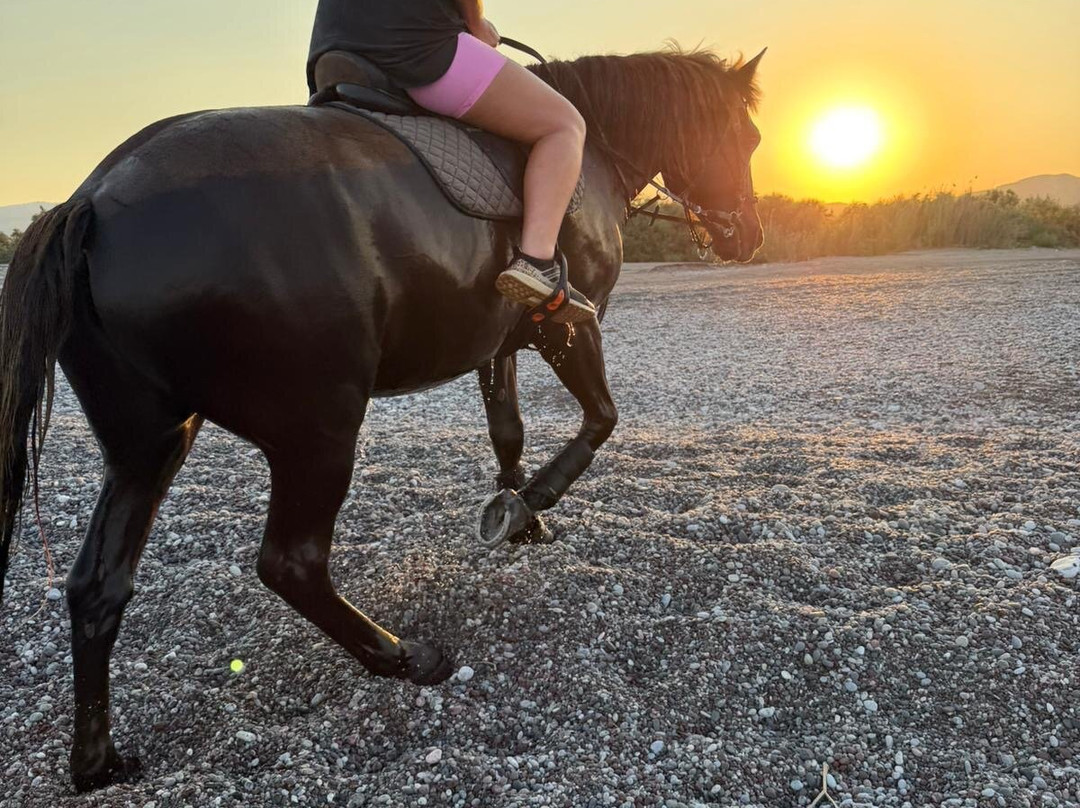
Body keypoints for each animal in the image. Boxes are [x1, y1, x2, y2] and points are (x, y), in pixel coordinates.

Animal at [0, 47, 763, 791]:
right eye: (749, 138)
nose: (748, 237)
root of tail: (91, 200)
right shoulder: (567, 328)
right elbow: (601, 419)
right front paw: (533, 502)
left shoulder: (499, 344)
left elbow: (508, 432)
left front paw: (520, 515)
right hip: (319, 431)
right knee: (292, 564)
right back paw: (403, 657)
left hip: (149, 446)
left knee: (97, 586)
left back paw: (97, 764)